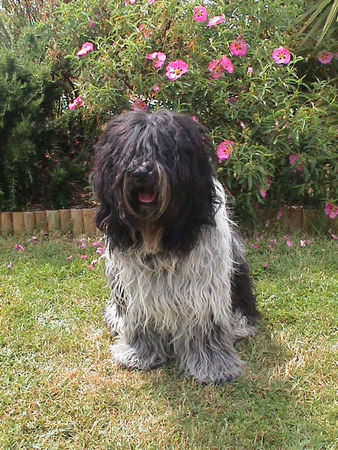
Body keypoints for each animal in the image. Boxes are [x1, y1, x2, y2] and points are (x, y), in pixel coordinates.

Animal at [91, 110, 260, 384]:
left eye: (164, 150)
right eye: (128, 152)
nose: (140, 171)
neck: (158, 233)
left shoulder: (204, 285)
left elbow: (204, 325)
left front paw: (213, 365)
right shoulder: (136, 288)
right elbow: (140, 320)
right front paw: (139, 354)